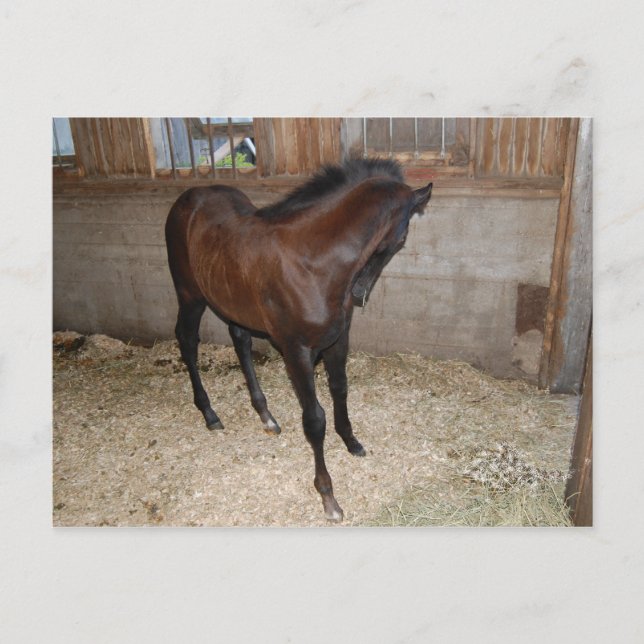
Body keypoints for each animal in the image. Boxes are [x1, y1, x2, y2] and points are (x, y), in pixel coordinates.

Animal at [165, 157, 432, 521]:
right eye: (401, 237)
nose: (359, 293)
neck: (313, 263)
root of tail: (189, 197)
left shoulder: (337, 339)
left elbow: (340, 388)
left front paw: (351, 441)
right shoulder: (296, 351)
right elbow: (315, 420)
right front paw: (328, 498)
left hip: (232, 299)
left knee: (240, 340)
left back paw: (266, 416)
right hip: (190, 295)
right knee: (188, 342)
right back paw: (209, 413)